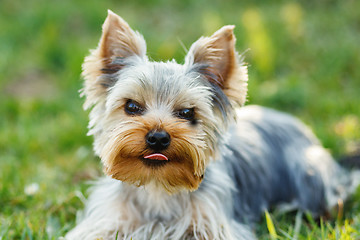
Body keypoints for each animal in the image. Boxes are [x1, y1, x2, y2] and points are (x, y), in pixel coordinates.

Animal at [64, 9, 360, 240]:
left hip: (309, 173)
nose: (158, 137)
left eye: (187, 112)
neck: (158, 186)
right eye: (132, 107)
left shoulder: (215, 223)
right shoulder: (106, 220)